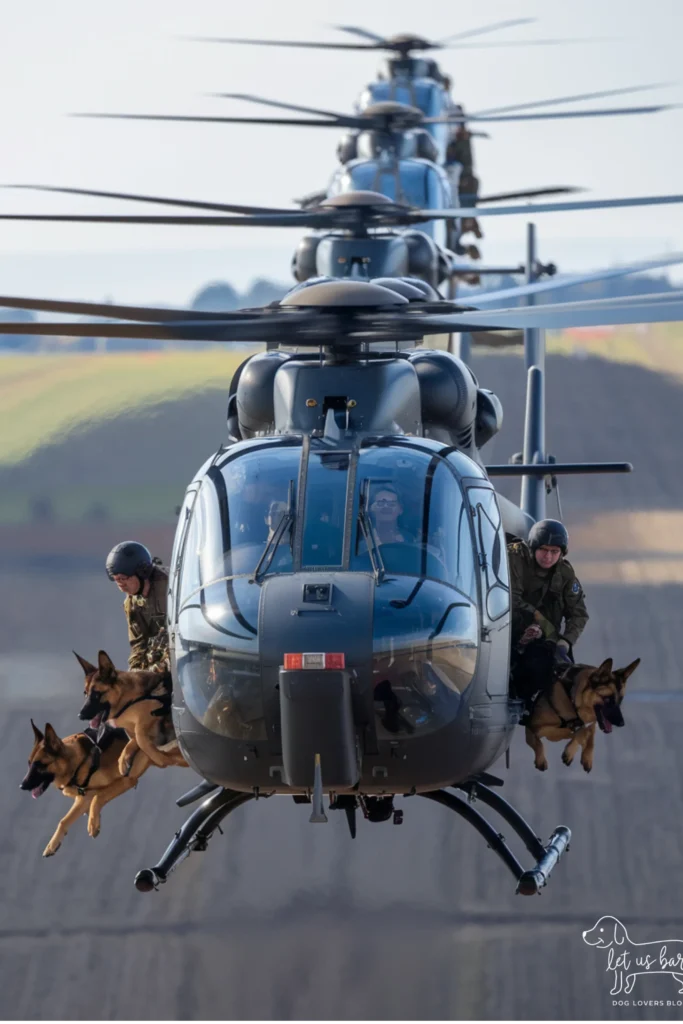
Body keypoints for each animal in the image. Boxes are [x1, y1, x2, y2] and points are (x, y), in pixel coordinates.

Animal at [19, 720, 150, 856]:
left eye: (39, 765)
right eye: (29, 764)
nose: (21, 786)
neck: (77, 763)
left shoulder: (127, 780)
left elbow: (98, 797)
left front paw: (93, 823)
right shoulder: (83, 798)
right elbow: (63, 821)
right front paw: (52, 844)